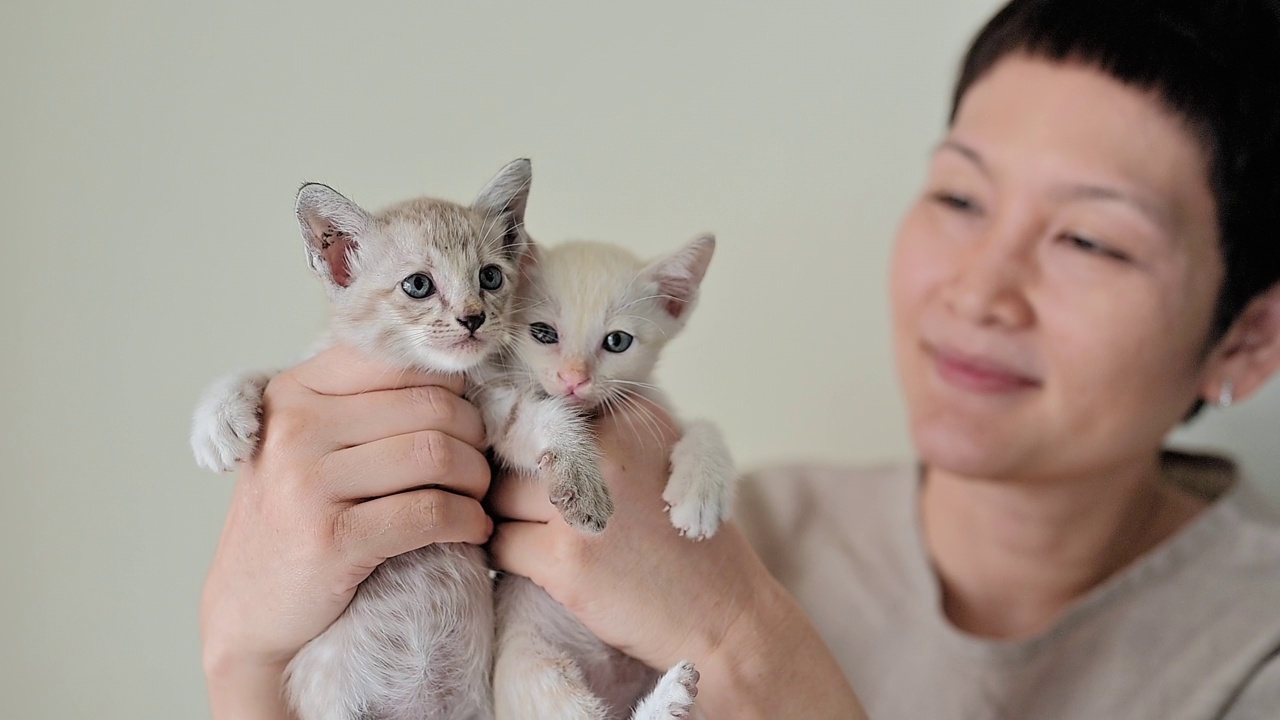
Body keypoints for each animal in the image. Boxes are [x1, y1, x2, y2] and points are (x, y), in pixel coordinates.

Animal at [188, 158, 609, 717]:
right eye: (417, 285)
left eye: (490, 276)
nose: (473, 318)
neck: (430, 373)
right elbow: (272, 374)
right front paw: (217, 422)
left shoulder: (494, 411)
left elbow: (549, 418)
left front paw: (585, 486)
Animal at [491, 237, 742, 717]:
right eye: (543, 333)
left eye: (617, 341)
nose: (574, 378)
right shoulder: (498, 429)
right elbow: (535, 418)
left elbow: (704, 427)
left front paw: (702, 492)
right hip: (527, 662)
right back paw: (667, 700)